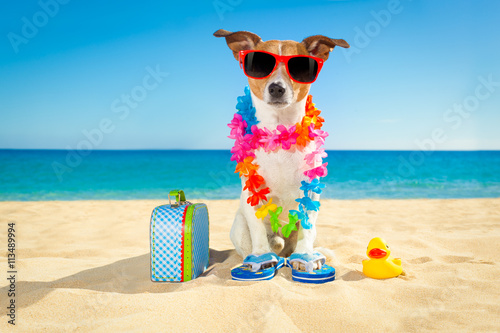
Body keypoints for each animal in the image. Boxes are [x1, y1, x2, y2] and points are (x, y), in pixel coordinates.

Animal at [213, 28, 350, 272]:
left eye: (300, 67)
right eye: (260, 64)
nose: (276, 88)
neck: (279, 134)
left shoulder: (311, 192)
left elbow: (306, 230)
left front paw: (305, 256)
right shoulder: (251, 194)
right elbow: (257, 228)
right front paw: (261, 255)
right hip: (239, 227)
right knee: (254, 246)